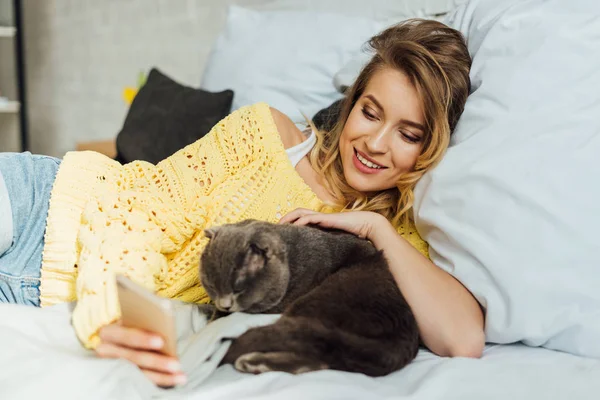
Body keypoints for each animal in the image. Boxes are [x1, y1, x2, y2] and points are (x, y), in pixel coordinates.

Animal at [200, 220, 418, 376]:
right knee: (320, 359)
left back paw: (251, 362)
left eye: (238, 289)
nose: (224, 304)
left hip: (315, 306)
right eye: (211, 286)